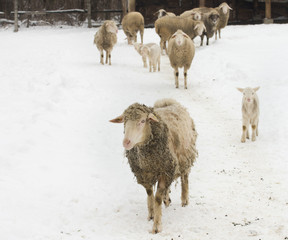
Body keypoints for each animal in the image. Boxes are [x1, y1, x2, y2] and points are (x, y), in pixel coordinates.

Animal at [109, 98, 198, 233]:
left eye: (142, 121)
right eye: (125, 120)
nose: (126, 142)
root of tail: (169, 102)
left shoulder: (164, 172)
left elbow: (157, 198)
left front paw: (157, 226)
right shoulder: (145, 173)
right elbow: (150, 193)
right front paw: (151, 214)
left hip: (185, 157)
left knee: (185, 178)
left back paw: (184, 200)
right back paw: (167, 199)